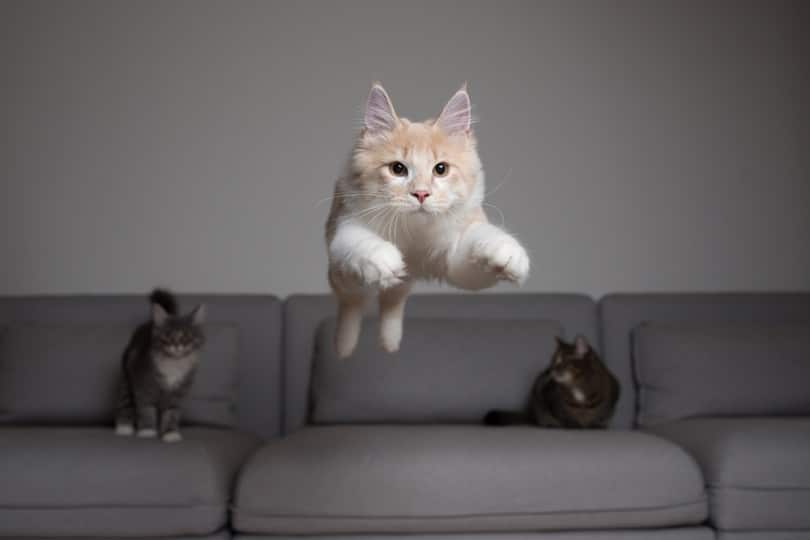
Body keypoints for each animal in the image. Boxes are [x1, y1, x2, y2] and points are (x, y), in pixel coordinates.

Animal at [115, 288, 207, 440]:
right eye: (168, 336)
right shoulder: (143, 386)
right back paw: (124, 427)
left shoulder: (179, 392)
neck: (173, 365)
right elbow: (146, 410)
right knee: (125, 400)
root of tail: (149, 323)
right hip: (126, 374)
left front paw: (170, 433)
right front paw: (147, 431)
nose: (177, 346)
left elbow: (172, 413)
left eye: (187, 337)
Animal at [480, 336, 620, 428]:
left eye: (561, 361)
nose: (550, 369)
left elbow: (600, 415)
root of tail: (531, 414)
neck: (578, 386)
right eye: (552, 360)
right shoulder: (549, 397)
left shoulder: (612, 395)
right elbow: (565, 415)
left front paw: (596, 425)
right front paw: (573, 424)